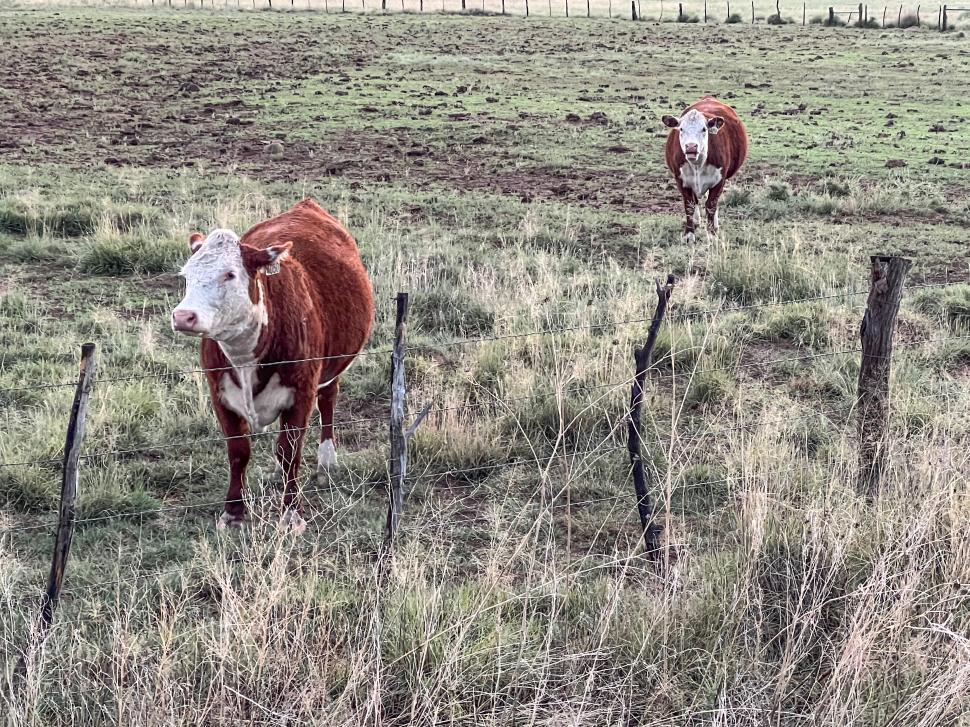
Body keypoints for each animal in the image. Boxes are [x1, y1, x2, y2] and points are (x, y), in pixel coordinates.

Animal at [171, 199, 374, 534]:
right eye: (186, 275)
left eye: (230, 274)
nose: (183, 316)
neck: (246, 357)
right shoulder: (219, 394)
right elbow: (238, 452)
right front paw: (233, 512)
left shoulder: (302, 392)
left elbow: (289, 452)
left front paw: (291, 513)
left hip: (331, 369)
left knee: (328, 400)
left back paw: (326, 459)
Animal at [663, 97, 748, 243]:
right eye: (681, 129)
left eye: (704, 129)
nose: (691, 147)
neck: (697, 163)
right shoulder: (681, 180)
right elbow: (689, 205)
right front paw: (689, 234)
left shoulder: (719, 180)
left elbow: (711, 205)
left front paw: (712, 234)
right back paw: (696, 222)